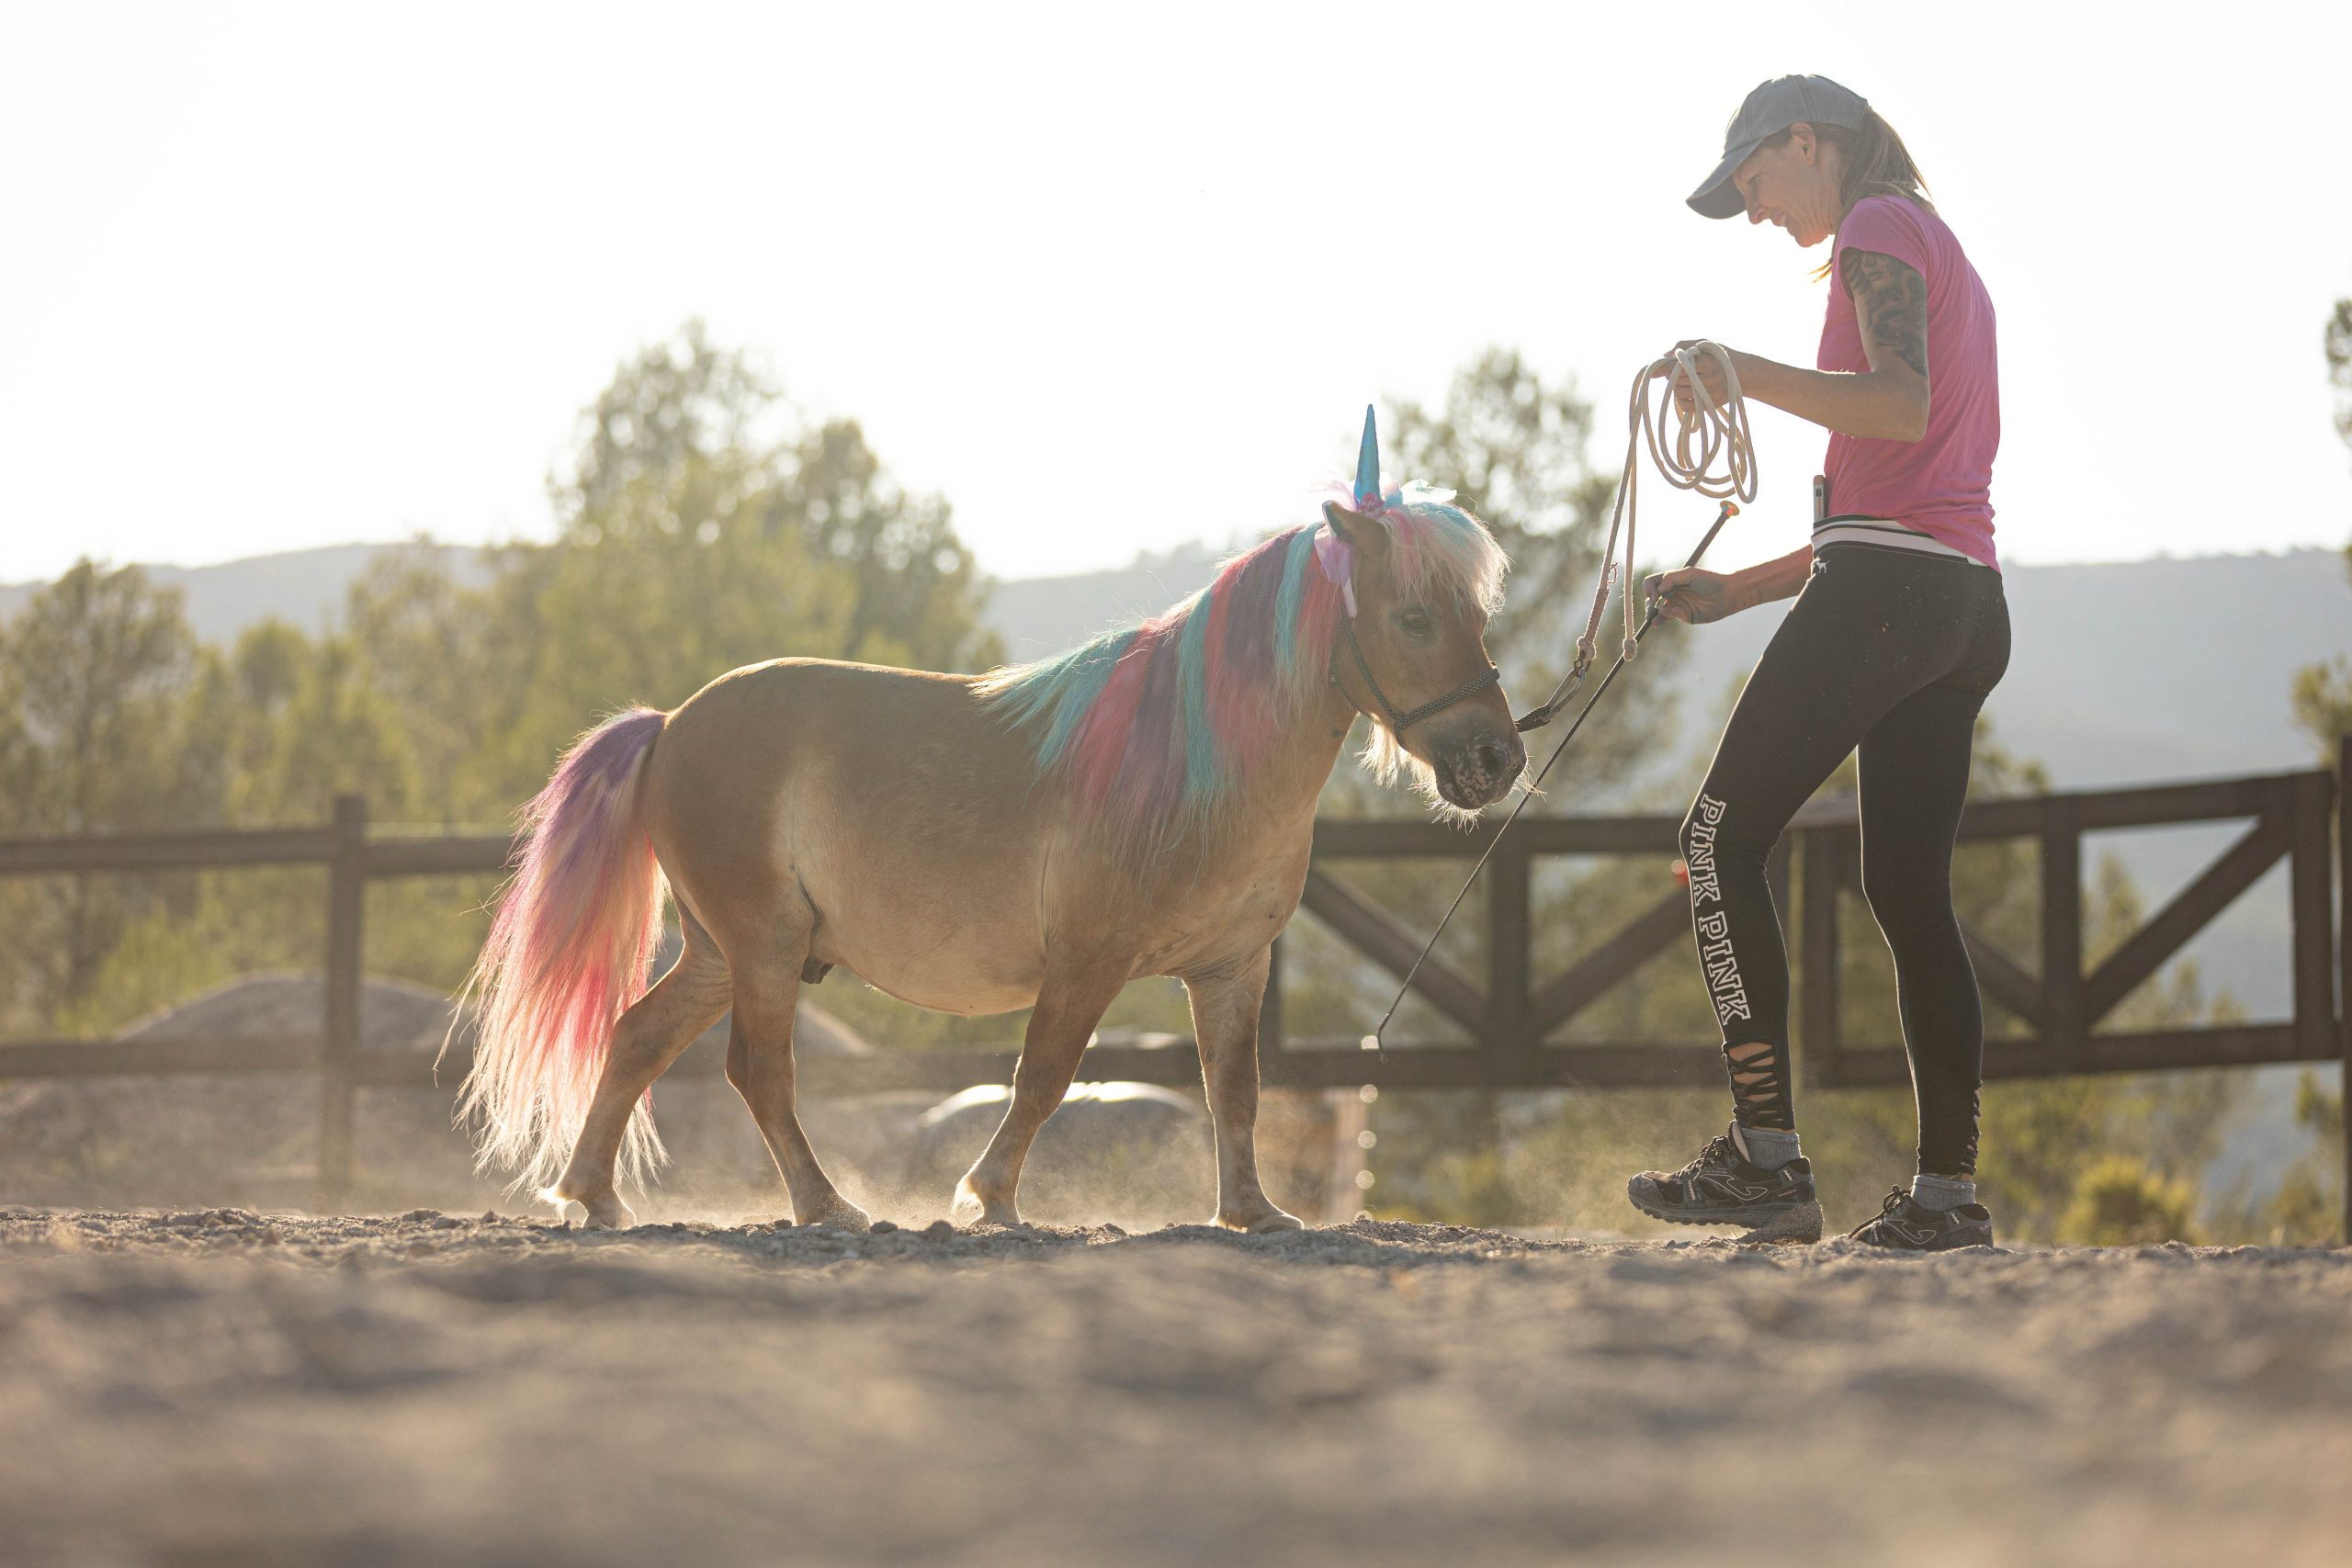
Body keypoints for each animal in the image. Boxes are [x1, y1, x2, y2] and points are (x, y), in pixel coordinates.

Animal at [454, 410, 1527, 1231]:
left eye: (1476, 613)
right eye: (1414, 618)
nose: (1496, 760)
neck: (1193, 763)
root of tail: (672, 723)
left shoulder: (1232, 969)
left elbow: (1235, 1088)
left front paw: (1253, 1213)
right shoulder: (1088, 960)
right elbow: (1043, 1077)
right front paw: (990, 1199)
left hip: (722, 951)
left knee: (637, 1038)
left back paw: (593, 1198)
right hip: (762, 946)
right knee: (759, 1072)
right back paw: (826, 1207)